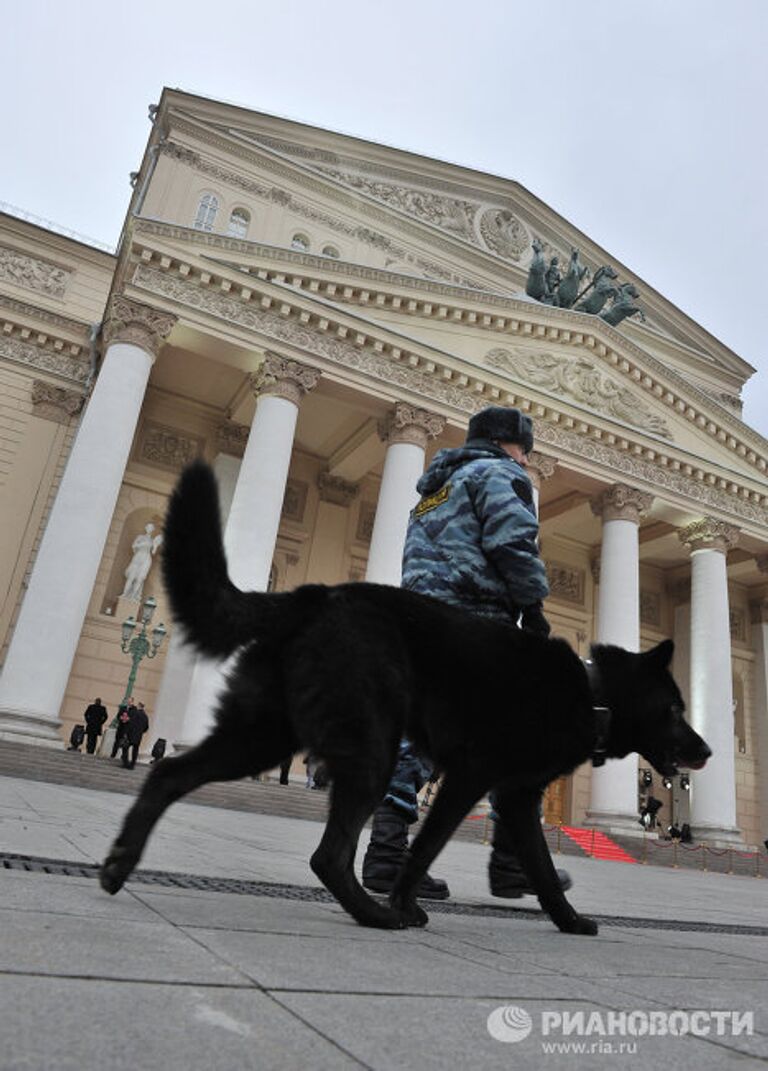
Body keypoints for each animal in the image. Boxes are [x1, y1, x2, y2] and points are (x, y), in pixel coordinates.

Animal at [99, 464, 711, 933]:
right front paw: (405, 901)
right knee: (328, 854)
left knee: (169, 773)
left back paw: (120, 863)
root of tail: (312, 596)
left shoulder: (515, 796)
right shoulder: (472, 779)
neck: (590, 690)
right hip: (367, 748)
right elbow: (425, 848)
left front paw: (567, 918)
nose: (706, 752)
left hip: (261, 734)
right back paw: (376, 915)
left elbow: (538, 863)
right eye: (676, 708)